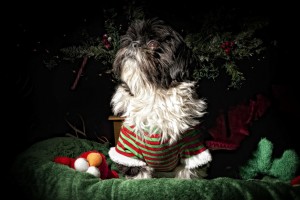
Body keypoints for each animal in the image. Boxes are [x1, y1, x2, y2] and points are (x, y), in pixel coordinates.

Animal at [108, 18, 211, 179]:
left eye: (153, 43)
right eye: (128, 40)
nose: (133, 43)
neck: (153, 96)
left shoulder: (192, 148)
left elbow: (187, 174)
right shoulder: (129, 152)